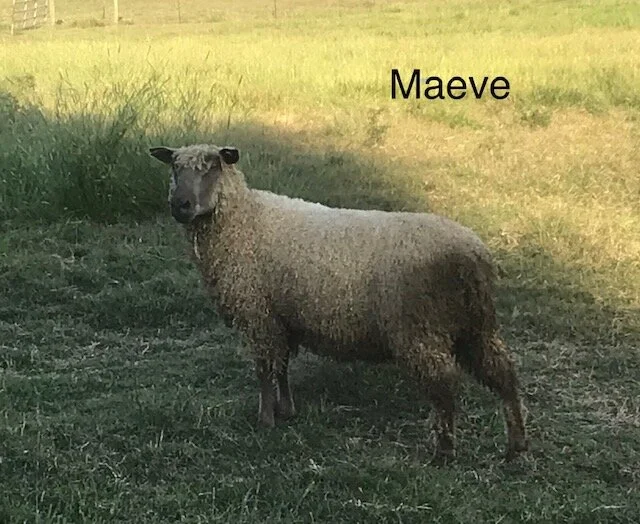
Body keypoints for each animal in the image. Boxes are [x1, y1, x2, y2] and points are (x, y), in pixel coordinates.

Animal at [149, 143, 529, 462]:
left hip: (420, 329)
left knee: (445, 386)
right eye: (174, 168)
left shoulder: (258, 313)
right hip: (476, 326)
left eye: (211, 166)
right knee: (505, 375)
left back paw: (444, 451)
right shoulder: (282, 317)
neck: (244, 221)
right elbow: (282, 368)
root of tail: (474, 255)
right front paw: (287, 409)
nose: (179, 205)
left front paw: (265, 419)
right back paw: (516, 445)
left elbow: (264, 370)